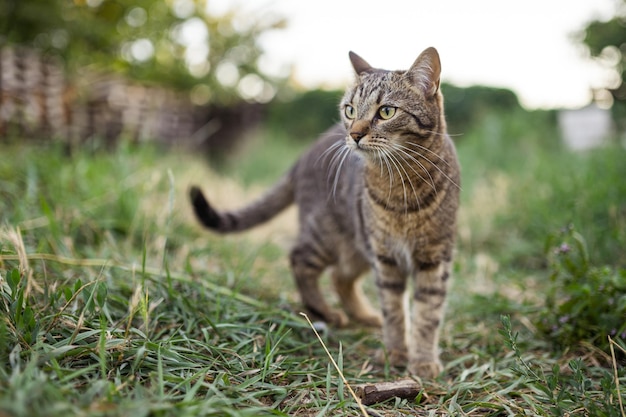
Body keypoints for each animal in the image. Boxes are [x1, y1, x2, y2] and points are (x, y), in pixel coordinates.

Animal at [189, 47, 458, 378]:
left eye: (386, 112)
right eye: (350, 110)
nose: (354, 134)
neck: (402, 185)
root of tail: (301, 157)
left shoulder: (434, 257)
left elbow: (427, 315)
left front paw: (422, 361)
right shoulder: (385, 258)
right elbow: (395, 311)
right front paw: (396, 353)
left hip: (356, 246)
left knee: (339, 277)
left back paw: (364, 315)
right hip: (328, 237)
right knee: (300, 261)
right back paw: (326, 313)